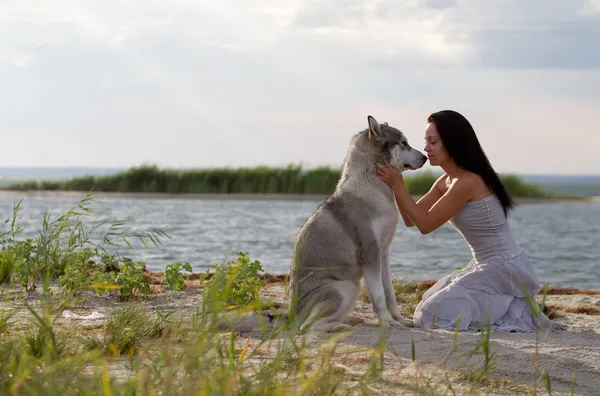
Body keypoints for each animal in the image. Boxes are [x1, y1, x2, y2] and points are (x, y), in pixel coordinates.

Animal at [286, 114, 426, 332]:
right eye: (404, 143)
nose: (425, 157)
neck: (373, 184)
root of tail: (291, 315)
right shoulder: (370, 254)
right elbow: (379, 297)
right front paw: (387, 323)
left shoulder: (383, 252)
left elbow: (389, 294)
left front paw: (400, 320)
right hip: (343, 288)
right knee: (308, 327)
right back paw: (338, 327)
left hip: (352, 287)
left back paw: (349, 321)